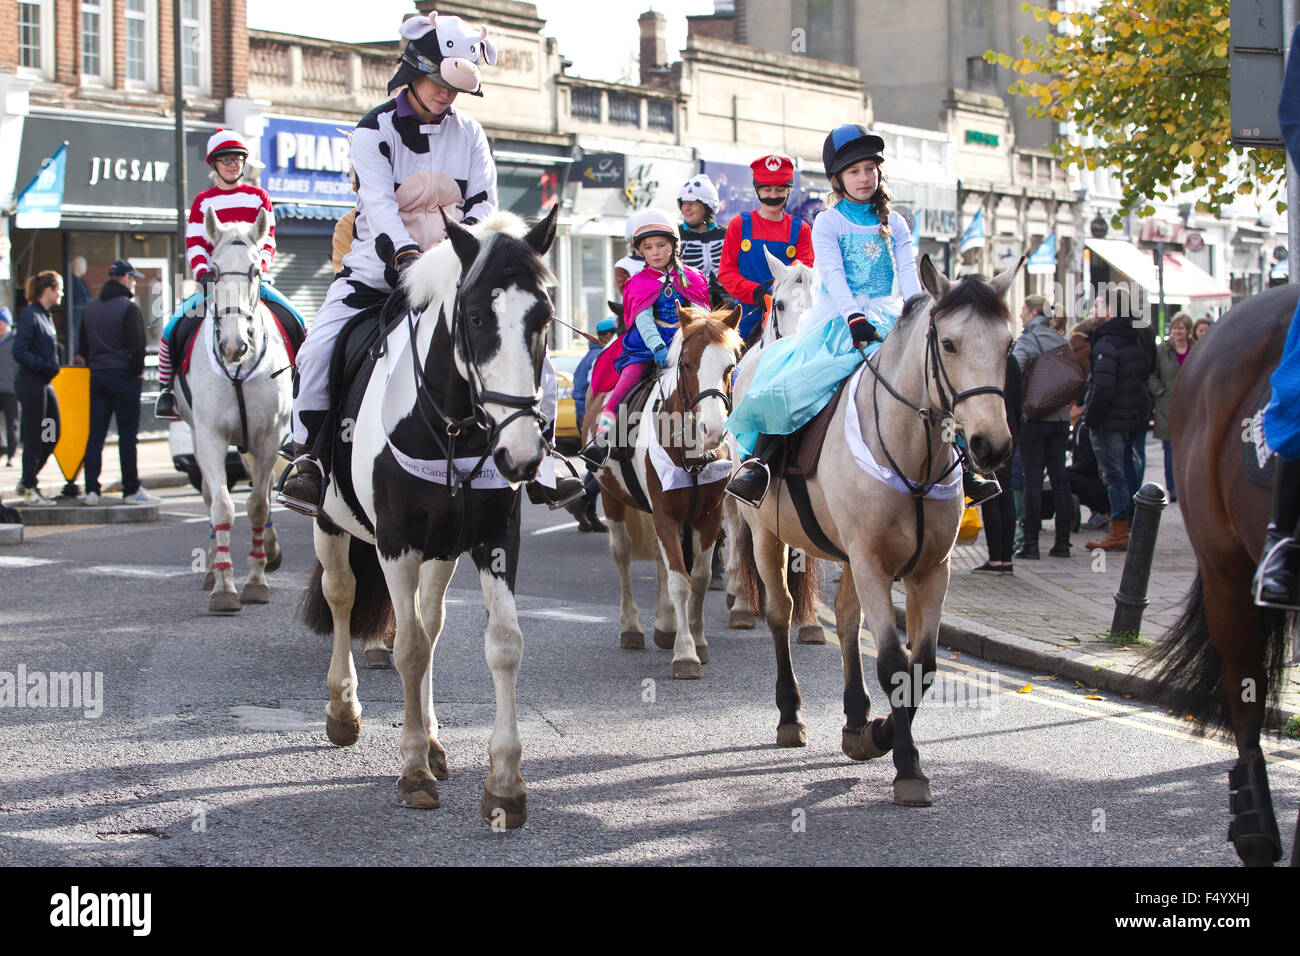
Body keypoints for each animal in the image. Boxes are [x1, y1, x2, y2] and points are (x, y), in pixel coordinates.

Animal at [175, 208, 289, 613]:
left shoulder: (269, 436)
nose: (232, 345)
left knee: (263, 489)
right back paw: (212, 566)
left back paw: (270, 552)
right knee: (211, 497)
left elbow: (257, 505)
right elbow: (222, 506)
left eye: (255, 270)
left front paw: (256, 581)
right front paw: (224, 586)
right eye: (213, 270)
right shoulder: (210, 435)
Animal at [301, 209, 561, 832]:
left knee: (430, 619)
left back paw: (438, 739)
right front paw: (414, 770)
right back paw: (344, 708)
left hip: (442, 549)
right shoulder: (396, 544)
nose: (522, 454)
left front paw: (504, 784)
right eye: (475, 316)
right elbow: (409, 650)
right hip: (331, 524)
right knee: (343, 595)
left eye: (543, 316)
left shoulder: (494, 540)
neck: (453, 428)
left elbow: (502, 643)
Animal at [585, 308, 748, 681]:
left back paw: (665, 625)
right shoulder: (666, 514)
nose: (713, 431)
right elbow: (679, 582)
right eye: (686, 364)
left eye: (730, 366)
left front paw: (697, 640)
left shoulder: (708, 516)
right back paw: (632, 628)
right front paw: (685, 654)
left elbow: (699, 578)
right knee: (622, 554)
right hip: (611, 497)